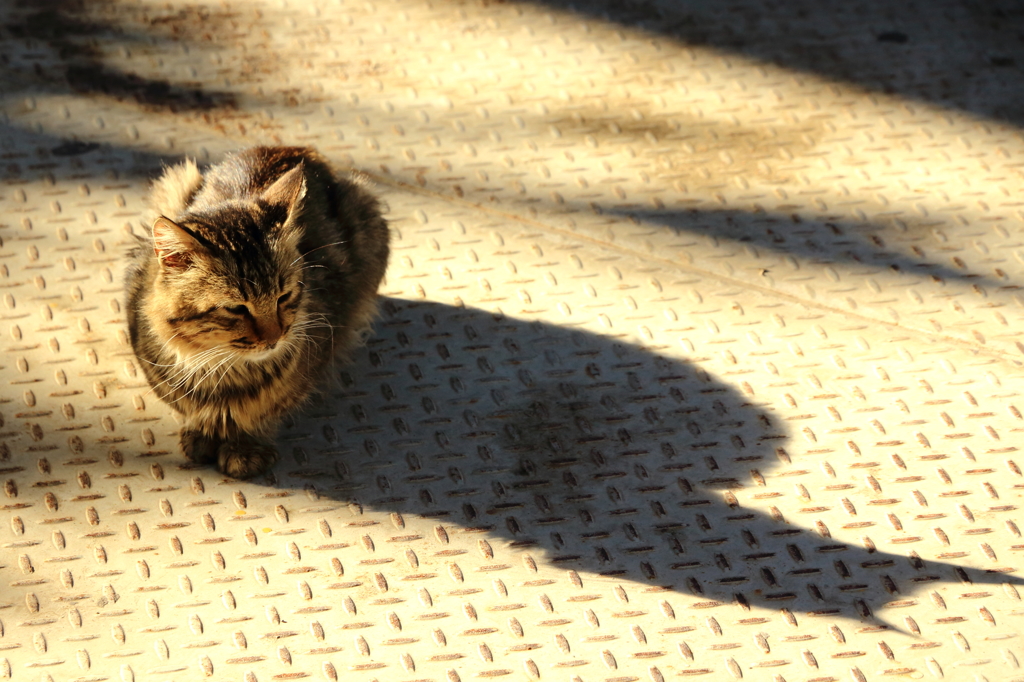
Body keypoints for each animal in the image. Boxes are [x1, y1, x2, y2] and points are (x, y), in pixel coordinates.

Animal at [123, 146, 387, 475]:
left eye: (283, 297)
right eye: (236, 308)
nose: (275, 337)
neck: (220, 369)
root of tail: (300, 150)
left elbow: (263, 412)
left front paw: (244, 447)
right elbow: (187, 406)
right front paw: (202, 433)